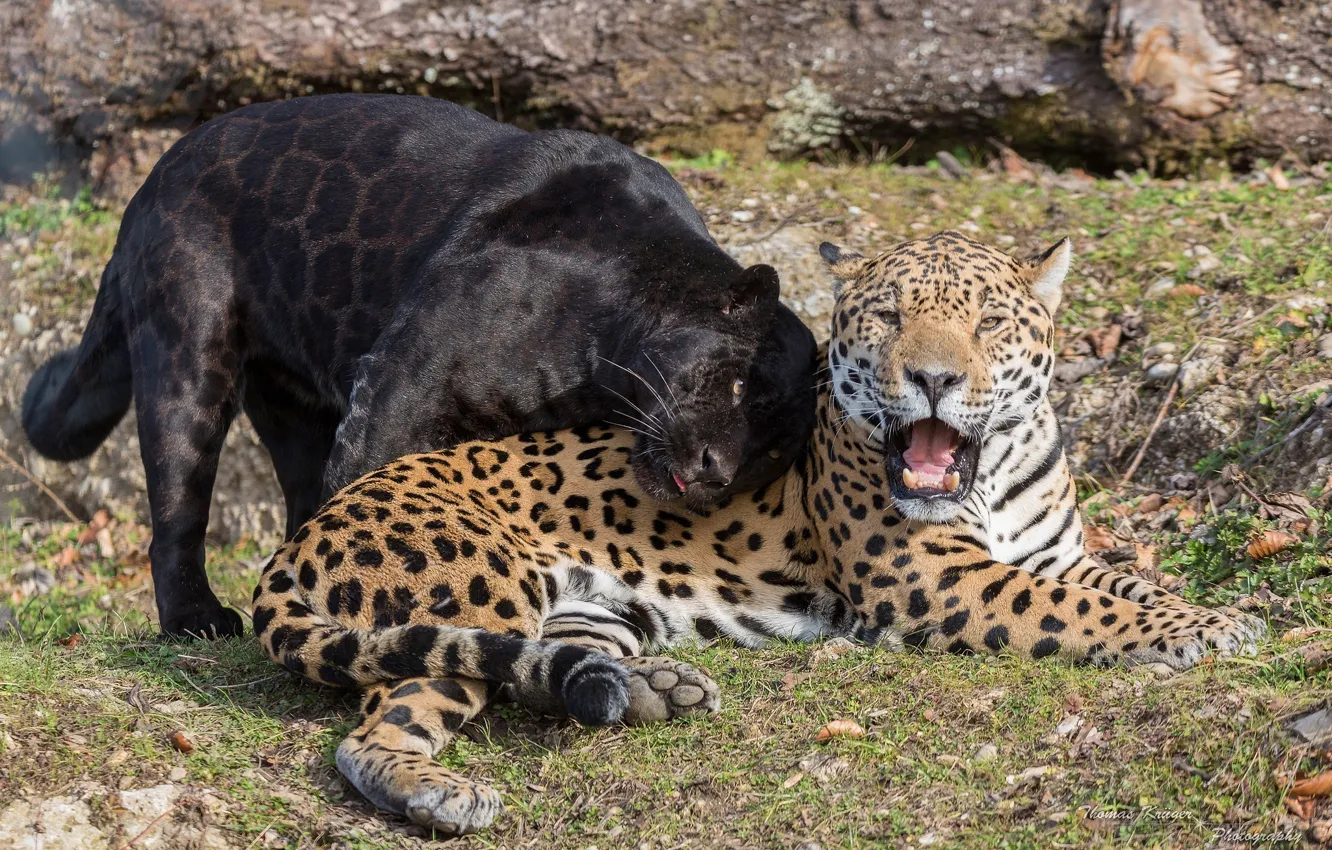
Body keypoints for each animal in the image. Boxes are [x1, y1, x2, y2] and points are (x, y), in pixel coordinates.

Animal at [252, 230, 1264, 835]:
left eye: (986, 323)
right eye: (889, 317)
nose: (934, 379)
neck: (992, 470)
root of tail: (302, 534)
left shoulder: (1059, 553)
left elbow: (1122, 585)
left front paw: (1213, 611)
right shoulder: (935, 581)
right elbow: (1083, 612)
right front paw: (1204, 631)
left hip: (583, 610)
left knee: (550, 670)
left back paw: (654, 689)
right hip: (476, 590)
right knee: (382, 720)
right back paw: (438, 792)